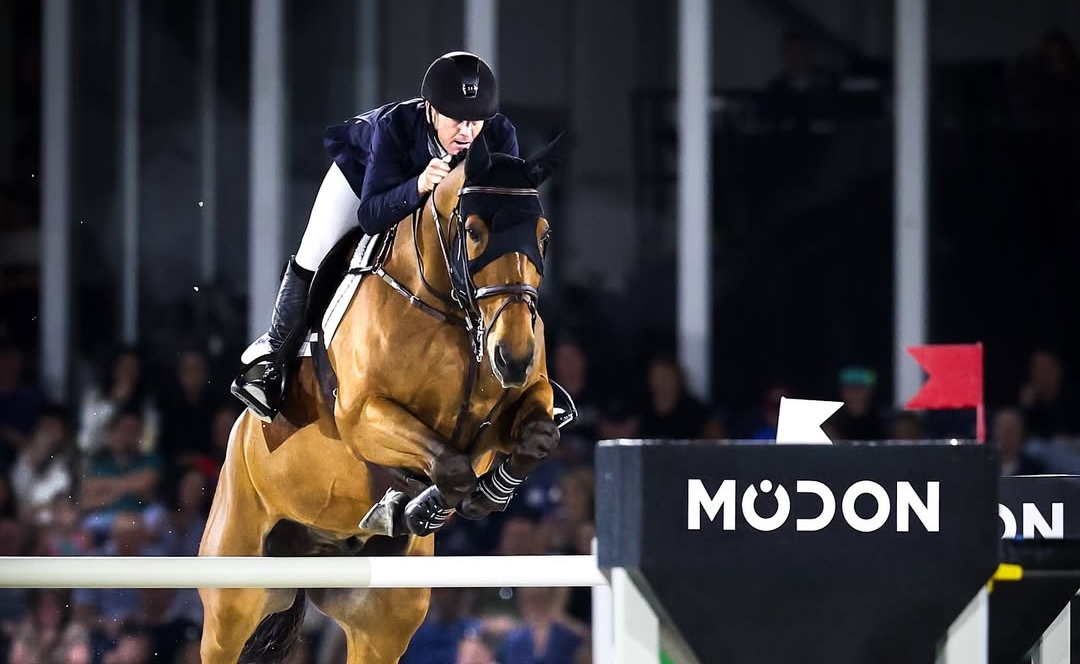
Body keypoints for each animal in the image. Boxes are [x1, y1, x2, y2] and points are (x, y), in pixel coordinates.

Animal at [198, 133, 569, 664]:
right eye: (474, 232)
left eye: (543, 235)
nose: (512, 356)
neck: (451, 311)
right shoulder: (363, 416)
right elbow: (450, 464)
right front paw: (424, 504)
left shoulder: (525, 399)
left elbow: (534, 439)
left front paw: (482, 495)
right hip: (233, 596)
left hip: (380, 624)